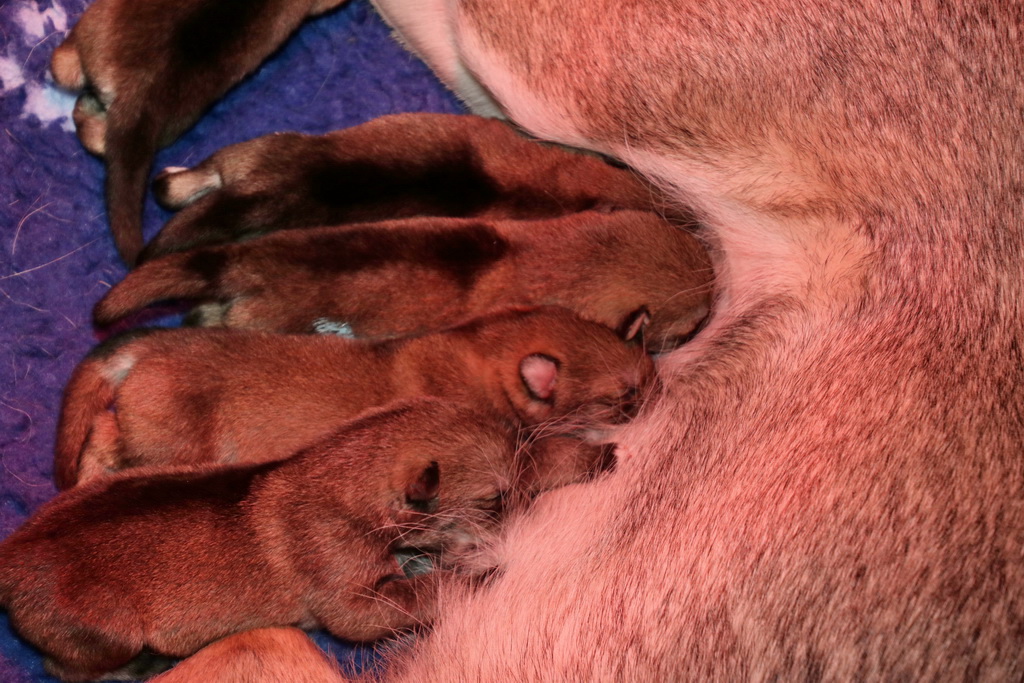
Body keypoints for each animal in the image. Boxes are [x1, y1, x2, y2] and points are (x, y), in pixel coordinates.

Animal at [0, 399, 516, 681]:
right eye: (495, 498)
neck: (344, 476)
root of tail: (11, 558)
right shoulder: (354, 604)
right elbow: (414, 595)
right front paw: (479, 574)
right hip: (112, 630)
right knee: (63, 669)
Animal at [55, 306, 652, 488]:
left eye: (647, 376)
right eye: (622, 397)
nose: (656, 396)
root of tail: (153, 344)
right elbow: (559, 456)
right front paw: (601, 455)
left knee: (103, 432)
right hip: (170, 447)